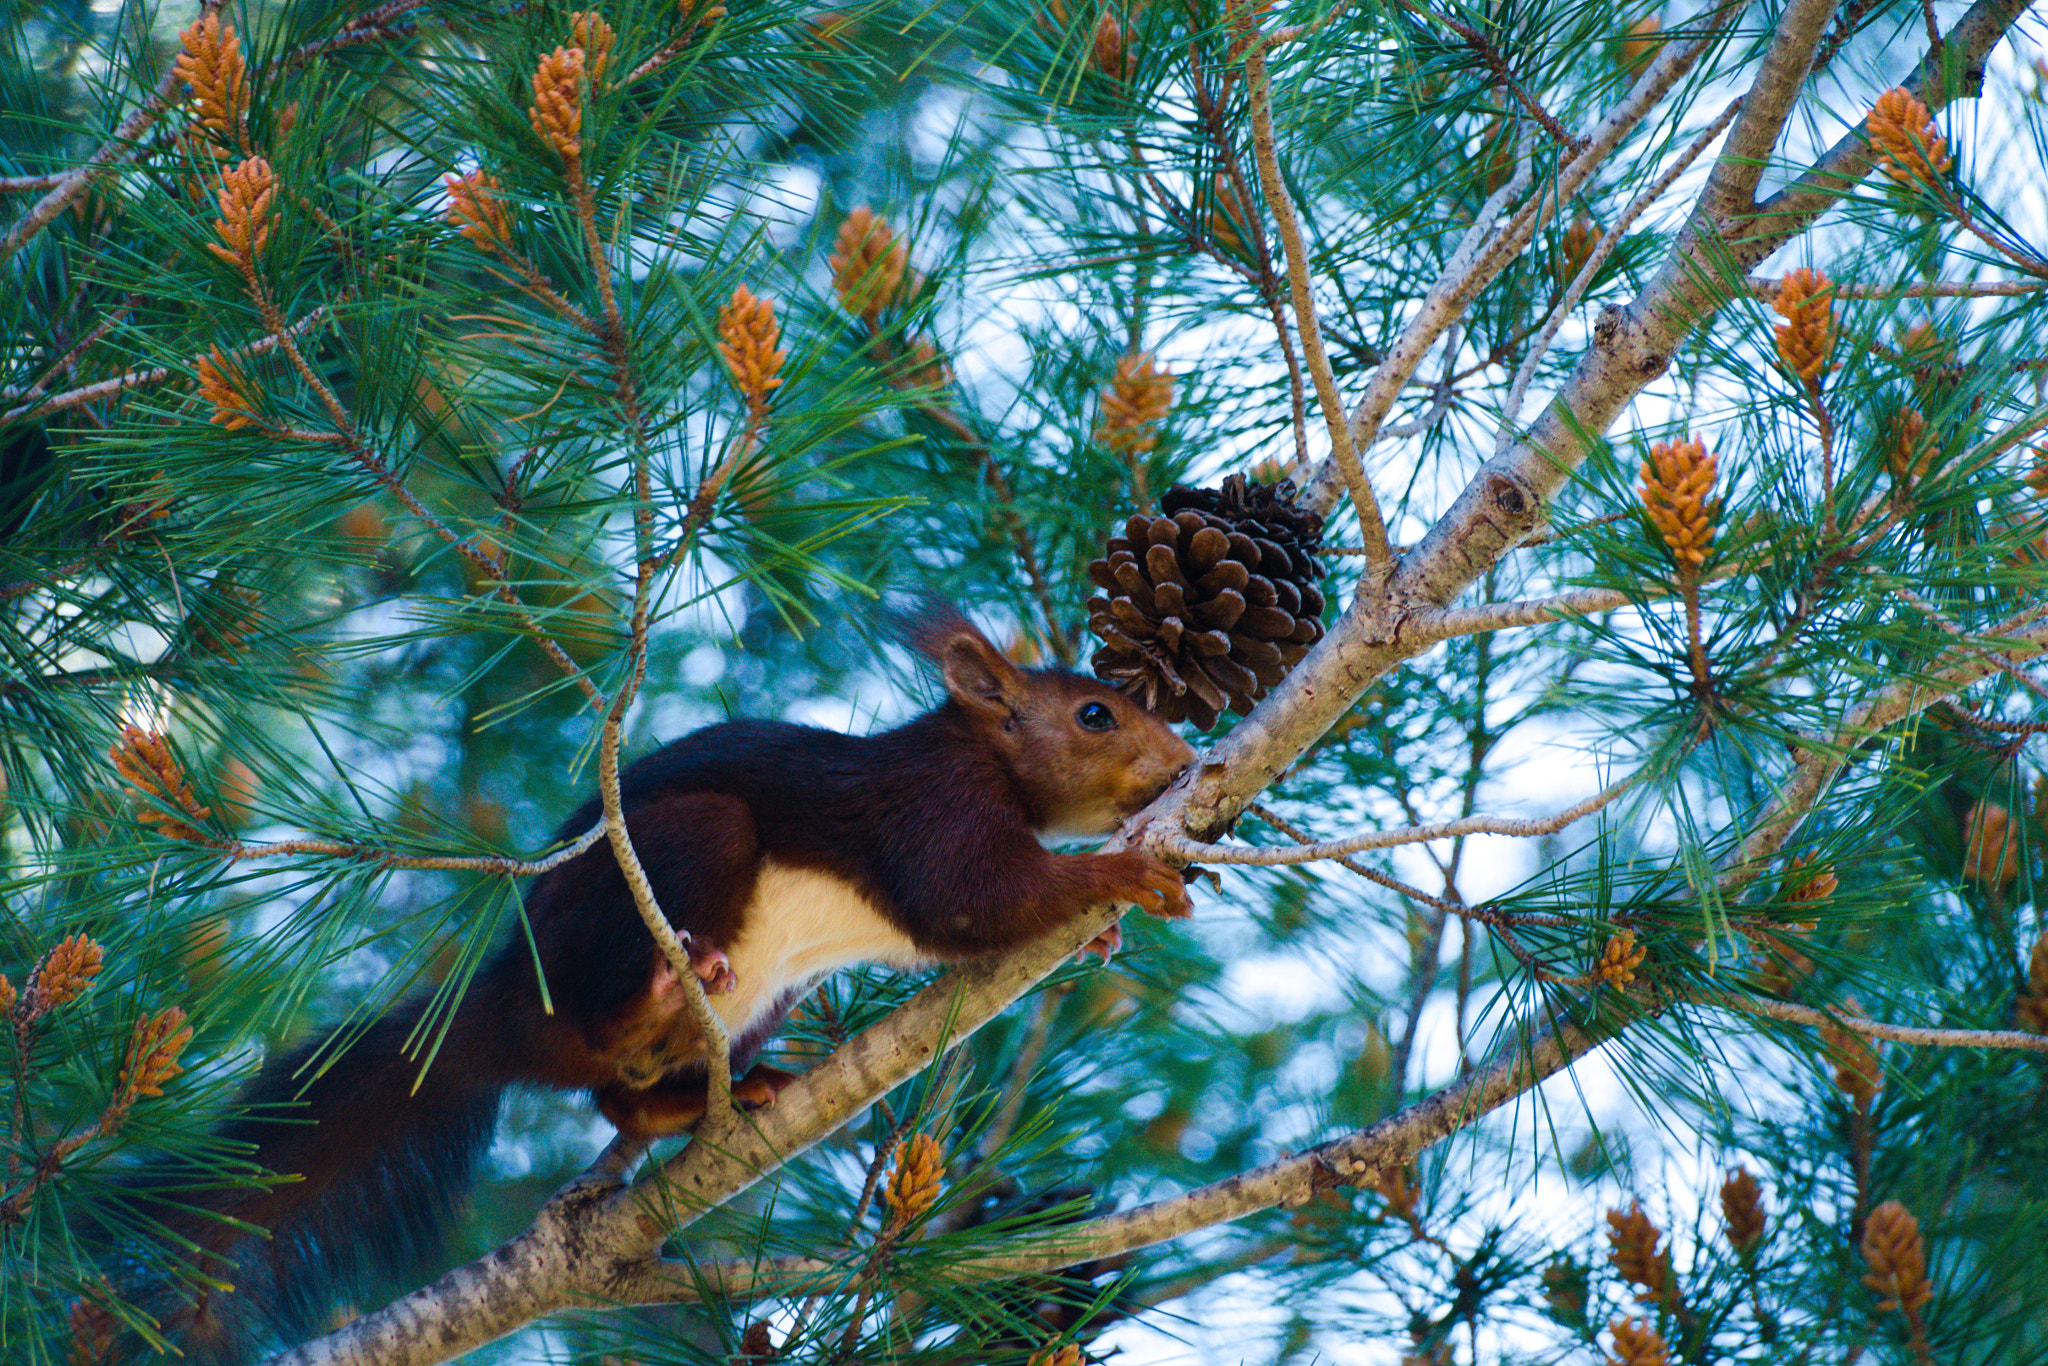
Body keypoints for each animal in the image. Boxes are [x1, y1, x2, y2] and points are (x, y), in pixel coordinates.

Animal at [151, 610, 1196, 1359]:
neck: (985, 755)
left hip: (760, 1001)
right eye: (1095, 714)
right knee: (608, 1024)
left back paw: (711, 1095)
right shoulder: (934, 804)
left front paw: (1105, 931)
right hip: (674, 859)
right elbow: (970, 898)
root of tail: (496, 1011)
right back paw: (652, 1009)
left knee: (620, 1097)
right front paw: (1114, 878)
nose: (1187, 763)